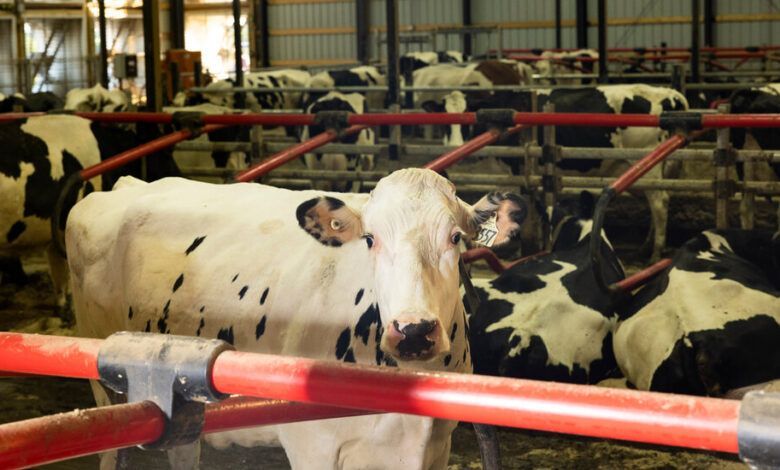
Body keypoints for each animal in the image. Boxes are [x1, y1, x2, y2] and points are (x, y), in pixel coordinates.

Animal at [66, 168, 527, 469]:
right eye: (370, 239)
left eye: (456, 238)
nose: (413, 331)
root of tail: (127, 184)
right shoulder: (313, 447)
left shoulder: (433, 446)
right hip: (107, 398)